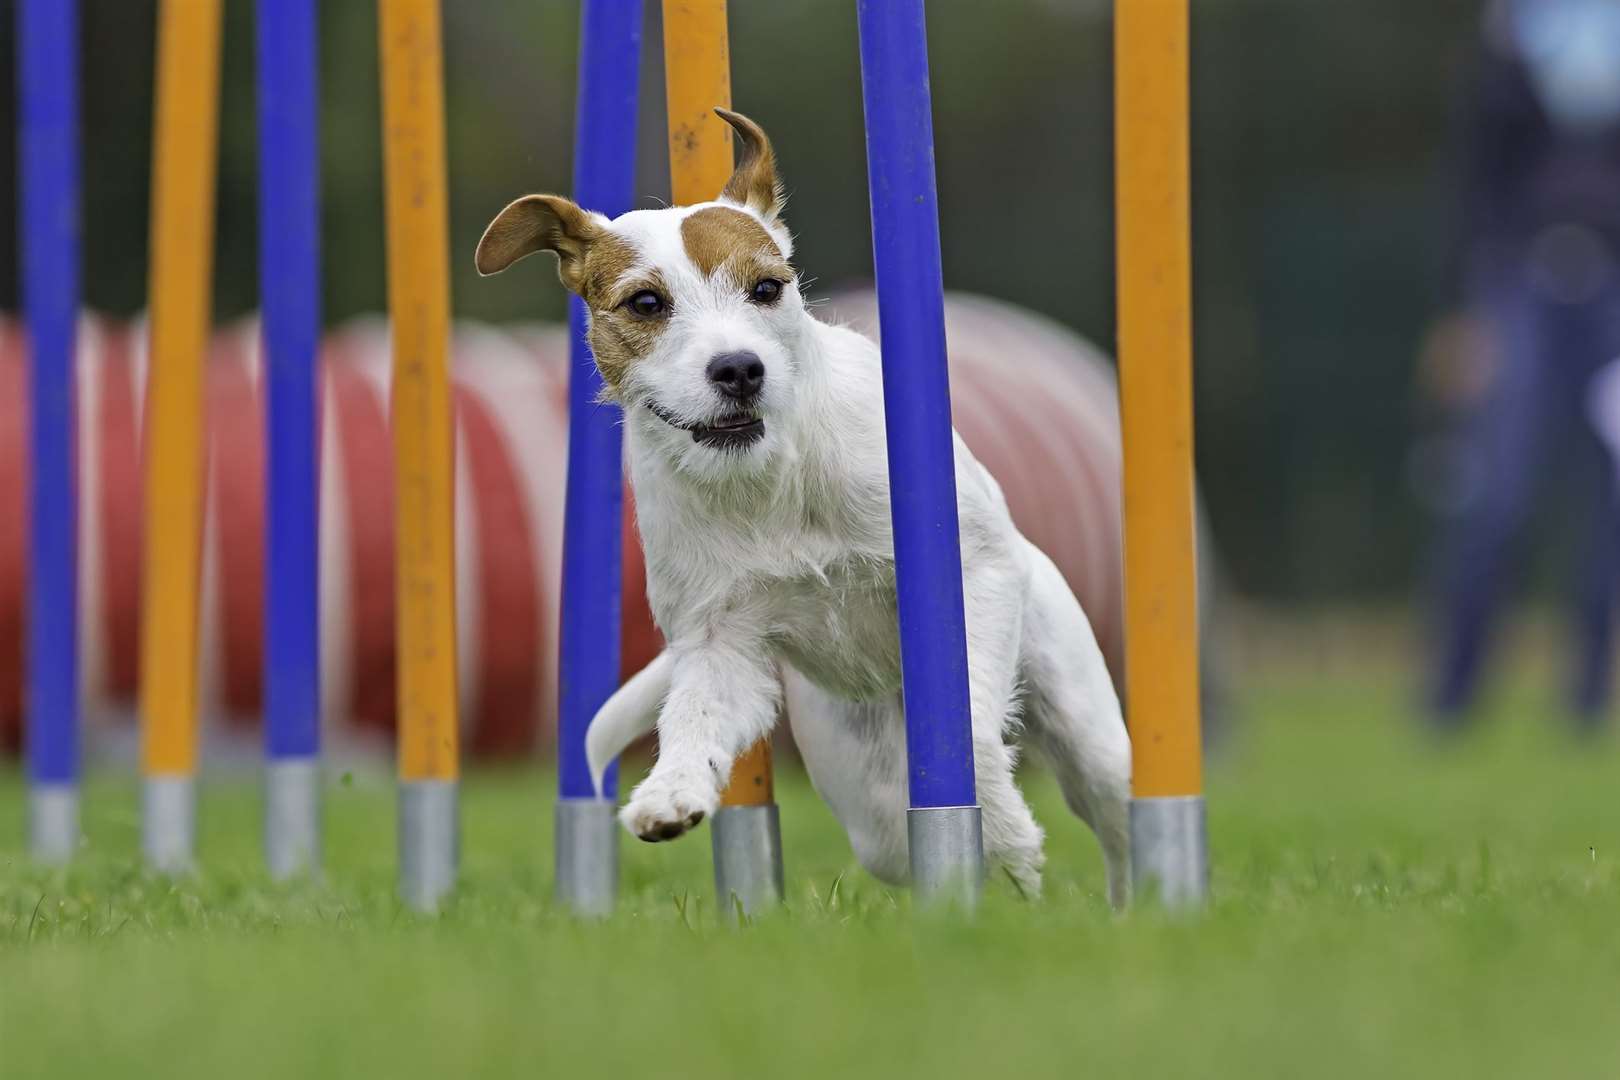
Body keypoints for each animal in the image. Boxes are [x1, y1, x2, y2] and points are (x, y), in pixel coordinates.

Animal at [476, 111, 1127, 906]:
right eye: (646, 303)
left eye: (766, 287)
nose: (738, 368)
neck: (769, 480)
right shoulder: (720, 641)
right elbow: (692, 719)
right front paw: (669, 793)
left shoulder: (974, 571)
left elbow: (970, 734)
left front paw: (1005, 823)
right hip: (864, 792)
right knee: (893, 833)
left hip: (1086, 724)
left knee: (1114, 814)